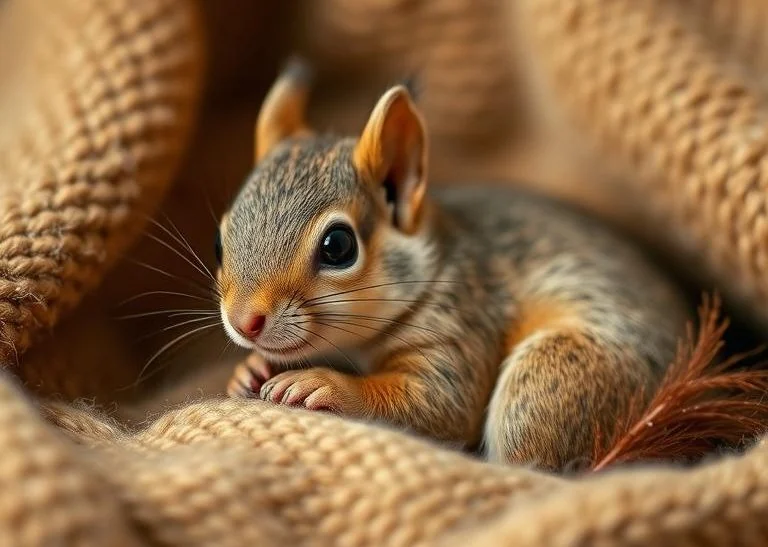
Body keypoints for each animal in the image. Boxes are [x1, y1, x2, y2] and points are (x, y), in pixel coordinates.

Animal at [217, 59, 689, 471]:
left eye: (338, 246)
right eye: (220, 238)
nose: (244, 322)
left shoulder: (462, 321)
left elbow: (440, 403)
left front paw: (322, 382)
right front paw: (249, 369)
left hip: (543, 387)